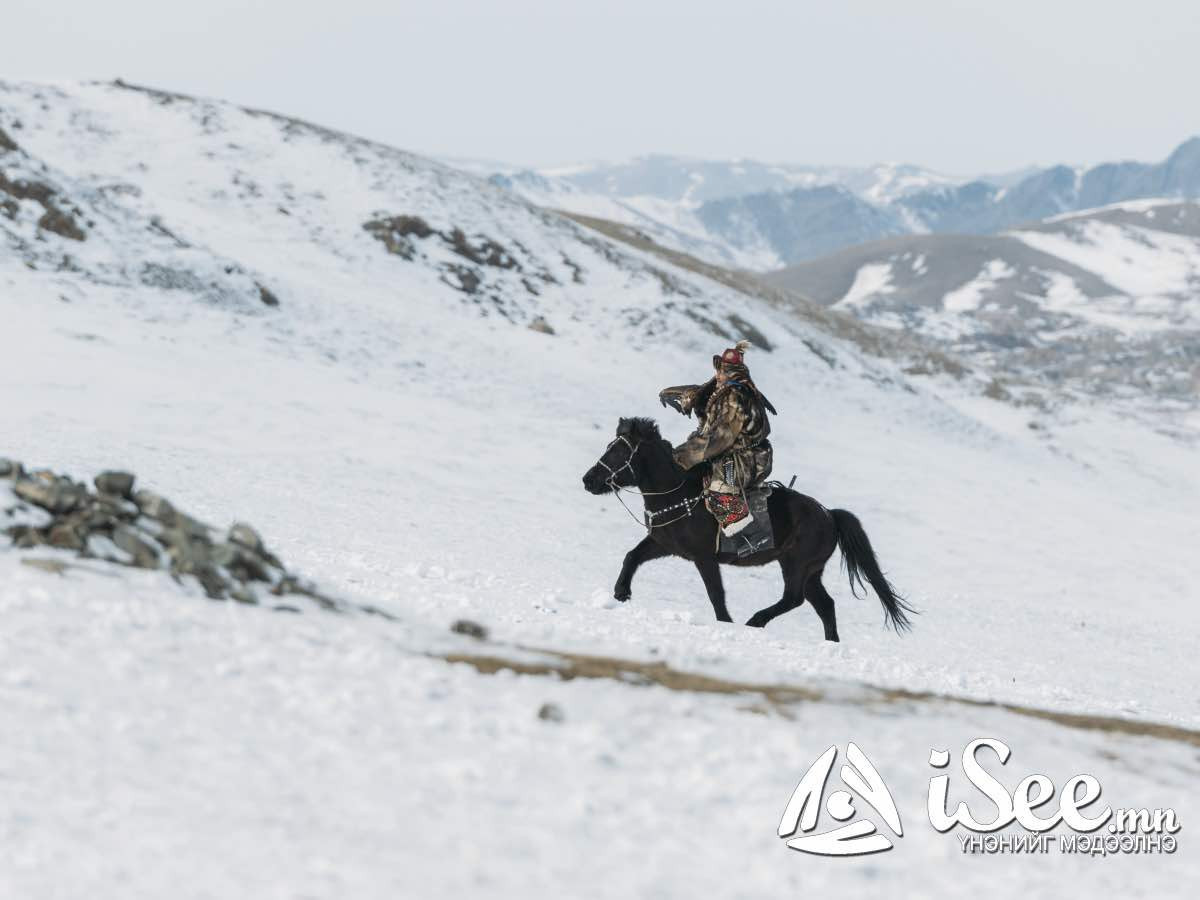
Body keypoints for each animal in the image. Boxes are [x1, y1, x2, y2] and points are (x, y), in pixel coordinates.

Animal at [578, 417, 907, 643]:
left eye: (619, 453)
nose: (588, 480)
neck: (679, 493)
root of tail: (829, 515)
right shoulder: (664, 544)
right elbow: (631, 557)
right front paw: (621, 594)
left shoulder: (703, 557)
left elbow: (716, 593)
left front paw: (725, 622)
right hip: (811, 572)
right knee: (824, 605)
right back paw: (830, 643)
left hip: (797, 565)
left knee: (794, 598)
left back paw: (755, 621)